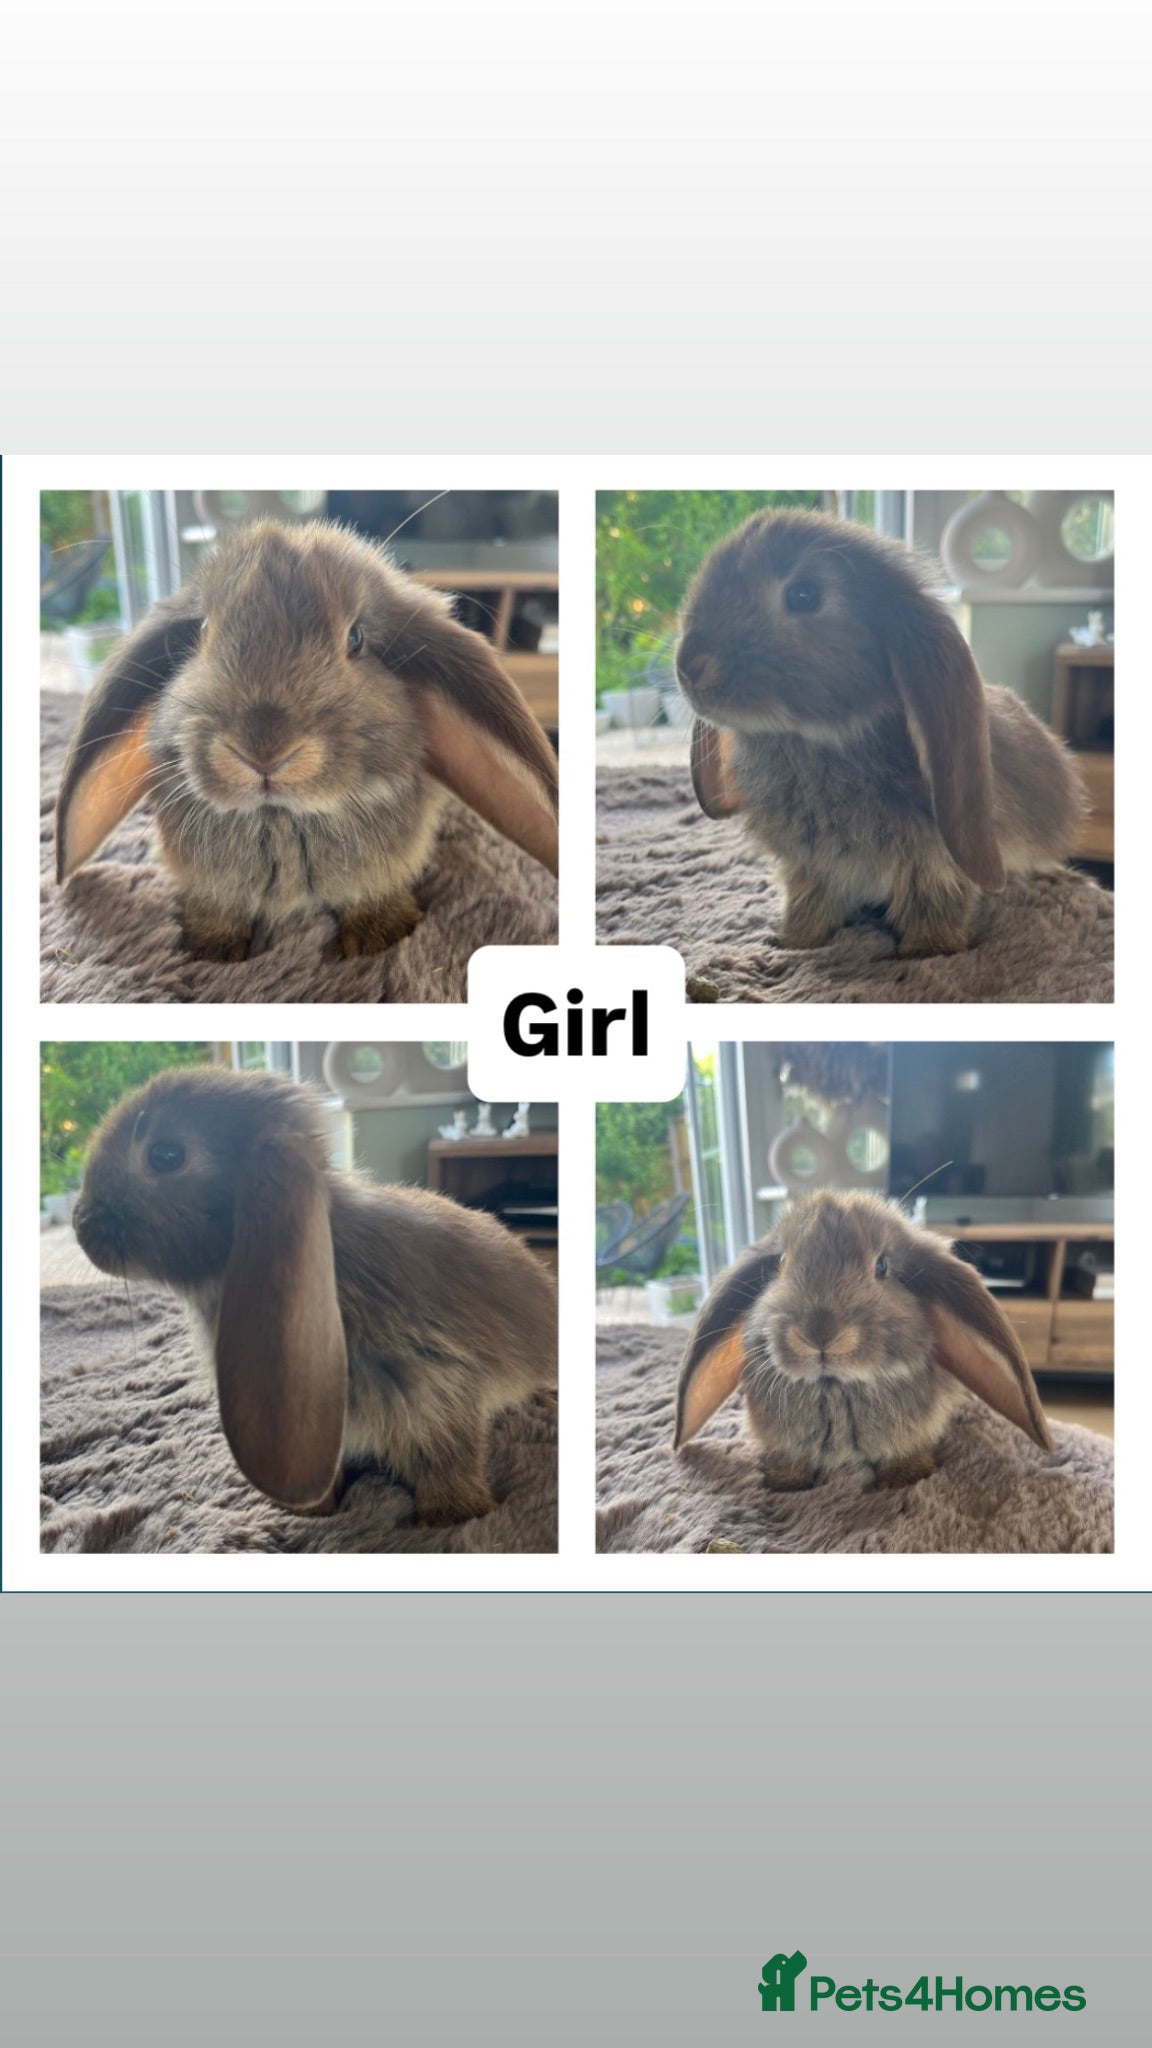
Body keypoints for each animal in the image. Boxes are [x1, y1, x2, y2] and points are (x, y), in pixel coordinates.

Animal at [55, 519, 559, 960]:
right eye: (201, 632)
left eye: (356, 638)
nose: (263, 750)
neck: (282, 818)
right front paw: (212, 946)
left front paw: (380, 935)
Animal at [71, 1067, 558, 1524]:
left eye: (166, 1155)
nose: (80, 1225)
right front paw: (312, 1510)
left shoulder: (434, 1388)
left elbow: (447, 1459)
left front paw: (454, 1516)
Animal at [673, 1190, 1051, 1490]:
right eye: (779, 1264)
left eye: (882, 1266)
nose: (819, 1333)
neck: (835, 1386)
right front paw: (784, 1481)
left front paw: (906, 1477)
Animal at [676, 510, 1086, 956]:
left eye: (803, 595)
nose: (688, 666)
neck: (820, 741)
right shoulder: (812, 868)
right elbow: (810, 904)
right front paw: (795, 942)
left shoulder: (932, 864)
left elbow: (934, 906)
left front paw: (927, 950)